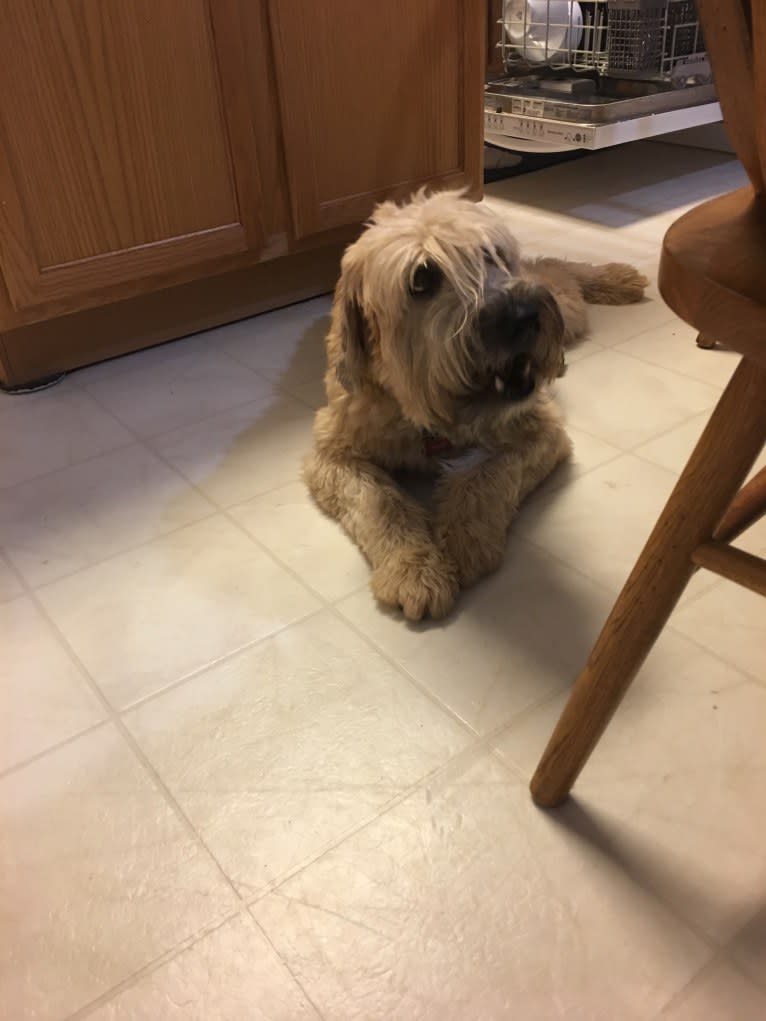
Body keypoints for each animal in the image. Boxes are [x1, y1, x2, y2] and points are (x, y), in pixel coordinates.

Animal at [306, 191, 649, 620]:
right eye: (421, 279)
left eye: (490, 253)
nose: (524, 315)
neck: (422, 413)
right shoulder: (333, 451)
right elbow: (378, 502)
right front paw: (414, 568)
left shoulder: (540, 429)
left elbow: (484, 479)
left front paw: (462, 543)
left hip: (565, 309)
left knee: (557, 269)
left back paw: (615, 277)